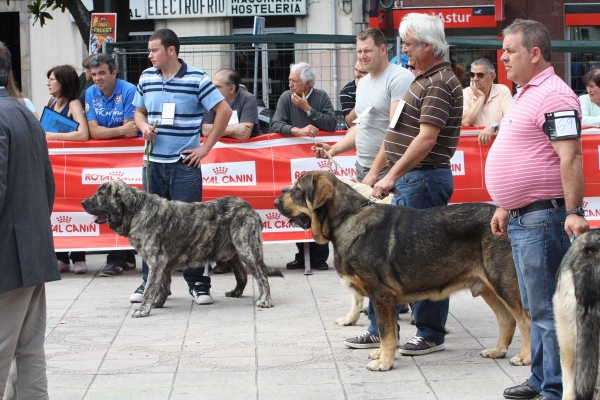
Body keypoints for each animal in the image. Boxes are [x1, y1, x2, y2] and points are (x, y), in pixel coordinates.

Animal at [81, 180, 284, 318]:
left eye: (101, 194)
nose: (82, 202)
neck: (136, 211)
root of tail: (251, 209)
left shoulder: (156, 261)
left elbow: (150, 288)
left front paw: (144, 309)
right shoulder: (162, 264)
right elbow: (162, 286)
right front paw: (158, 303)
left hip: (246, 248)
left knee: (261, 276)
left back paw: (266, 300)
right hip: (231, 252)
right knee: (242, 274)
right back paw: (236, 292)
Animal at [274, 170, 532, 370]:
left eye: (298, 190)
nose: (276, 202)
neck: (347, 218)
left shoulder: (381, 295)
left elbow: (387, 333)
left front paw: (384, 363)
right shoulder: (381, 299)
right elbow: (387, 331)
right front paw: (382, 355)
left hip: (504, 283)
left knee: (525, 320)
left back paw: (525, 357)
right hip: (489, 286)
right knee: (507, 321)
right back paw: (498, 351)